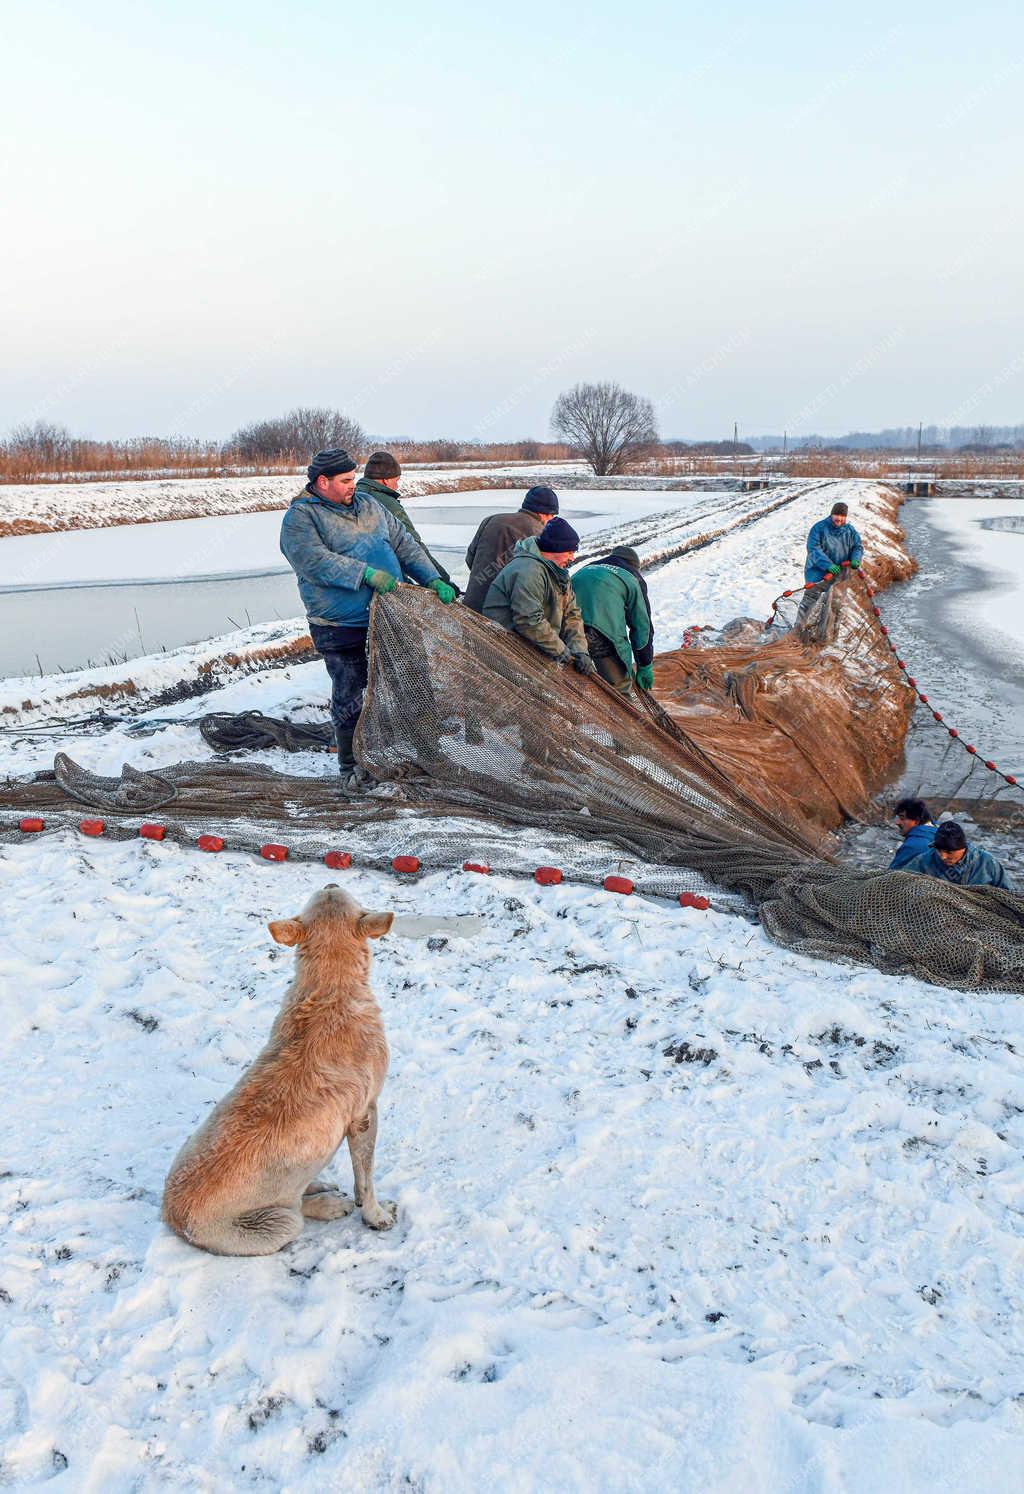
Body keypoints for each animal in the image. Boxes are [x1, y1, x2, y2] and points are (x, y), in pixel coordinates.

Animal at [162, 878, 394, 1254]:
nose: (331, 880)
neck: (329, 989)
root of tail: (170, 1217)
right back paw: (328, 1204)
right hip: (278, 1223)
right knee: (297, 1211)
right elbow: (366, 1177)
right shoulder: (365, 1114)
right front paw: (375, 1213)